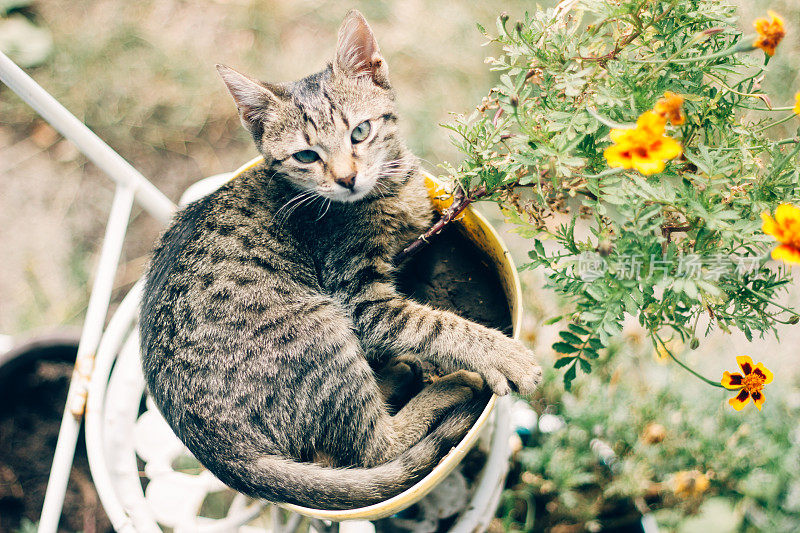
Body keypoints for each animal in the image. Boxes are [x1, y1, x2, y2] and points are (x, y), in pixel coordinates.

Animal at [141, 10, 540, 510]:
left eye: (360, 132)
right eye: (306, 155)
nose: (348, 178)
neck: (389, 190)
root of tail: (219, 451)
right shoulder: (360, 298)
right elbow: (435, 324)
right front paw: (503, 354)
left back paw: (397, 374)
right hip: (321, 323)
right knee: (372, 448)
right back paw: (446, 385)